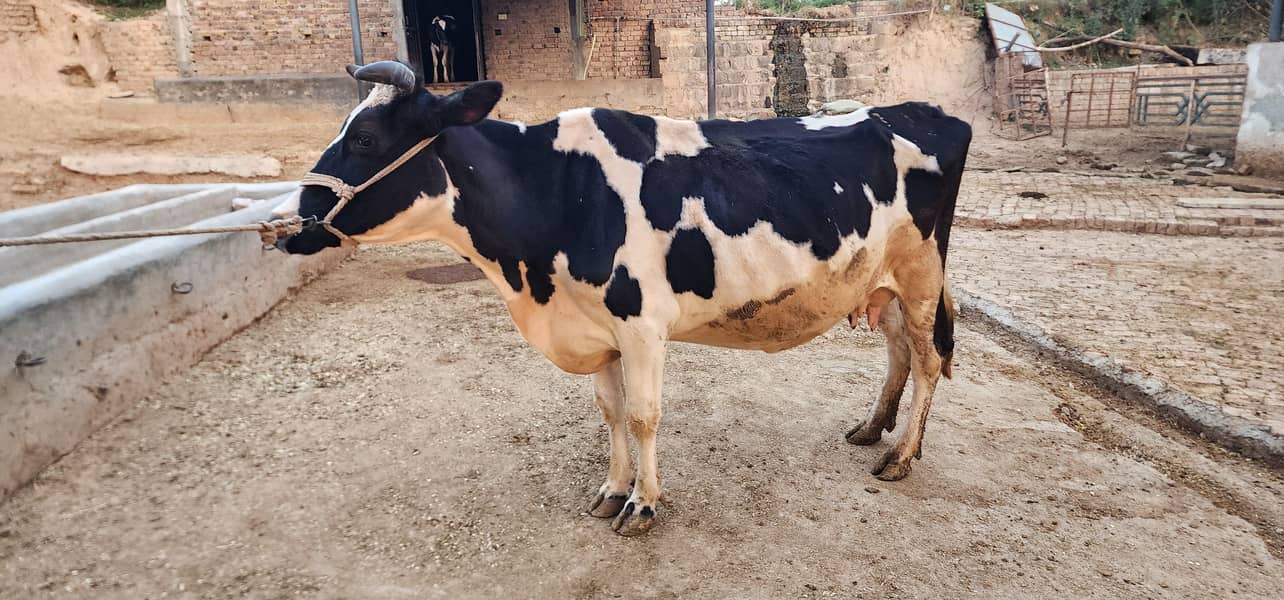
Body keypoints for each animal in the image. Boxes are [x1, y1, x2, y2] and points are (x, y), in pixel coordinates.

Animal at [272, 61, 972, 537]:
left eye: (365, 139)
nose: (291, 220)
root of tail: (923, 111)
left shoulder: (641, 324)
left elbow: (642, 416)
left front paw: (643, 504)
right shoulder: (594, 328)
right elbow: (609, 412)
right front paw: (612, 489)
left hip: (920, 275)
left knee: (928, 359)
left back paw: (901, 455)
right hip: (879, 279)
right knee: (898, 351)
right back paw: (873, 429)